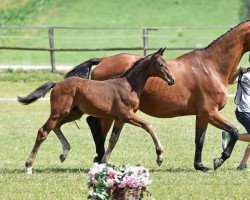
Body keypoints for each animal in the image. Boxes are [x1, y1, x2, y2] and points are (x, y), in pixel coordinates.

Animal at [18, 48, 174, 173]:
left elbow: (113, 140)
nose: (172, 80)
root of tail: (56, 84)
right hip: (59, 112)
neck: (128, 85)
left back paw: (64, 153)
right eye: (161, 65)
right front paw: (160, 157)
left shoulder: (120, 119)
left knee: (56, 127)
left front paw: (103, 162)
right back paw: (29, 166)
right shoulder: (127, 115)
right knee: (43, 131)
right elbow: (149, 126)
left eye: (167, 64)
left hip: (73, 113)